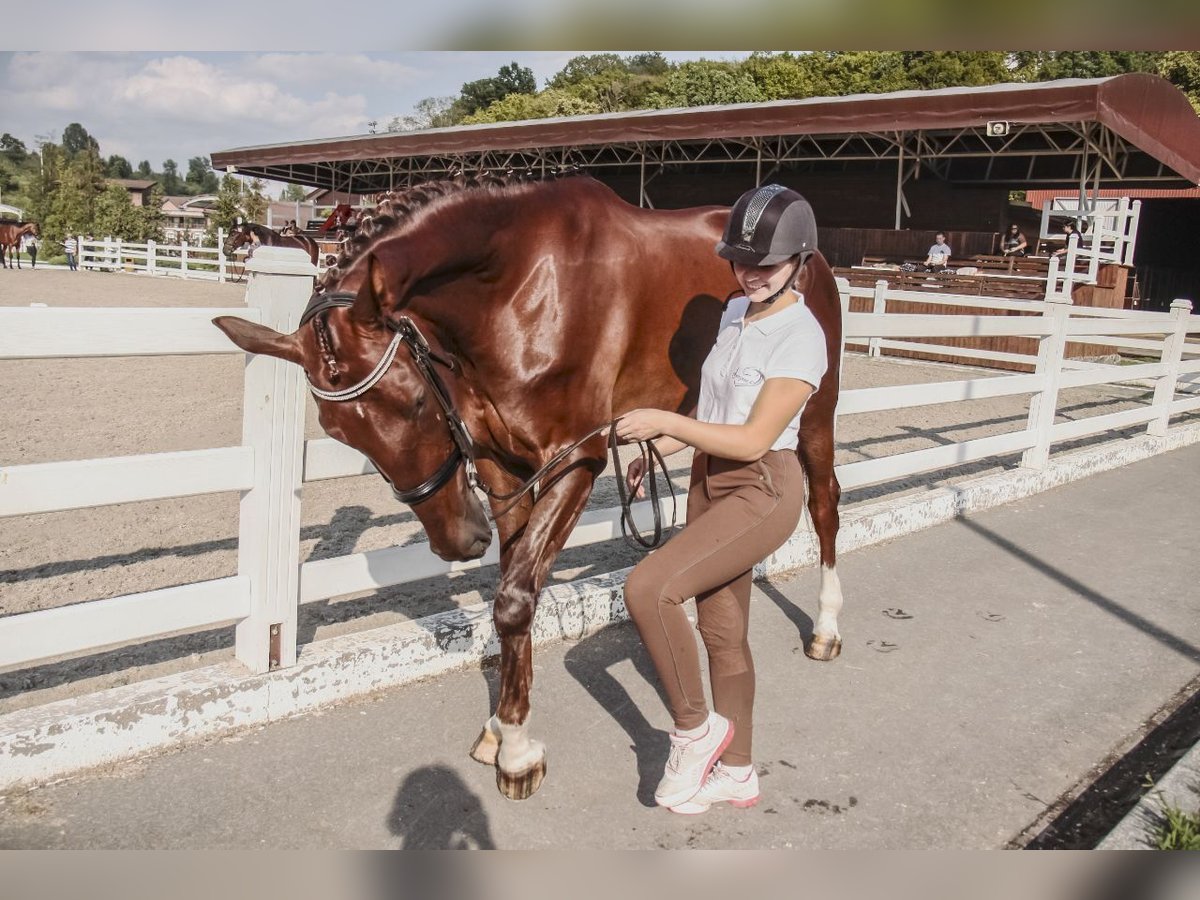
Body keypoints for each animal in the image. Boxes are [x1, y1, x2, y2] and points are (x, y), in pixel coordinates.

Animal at [208, 176, 844, 801]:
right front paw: (501, 729)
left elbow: (515, 599)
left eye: (414, 403)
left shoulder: (575, 460)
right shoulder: (502, 467)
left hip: (815, 414)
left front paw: (516, 754)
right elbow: (512, 589)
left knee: (823, 505)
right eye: (338, 431)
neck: (519, 290)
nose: (457, 540)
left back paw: (826, 629)